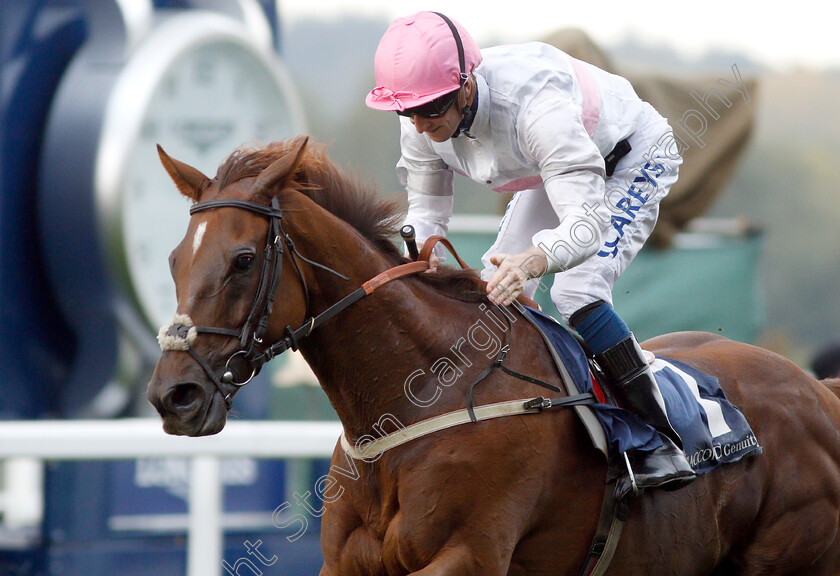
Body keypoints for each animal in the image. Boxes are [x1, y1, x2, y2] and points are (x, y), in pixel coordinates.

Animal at [148, 137, 840, 572]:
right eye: (174, 258)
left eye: (243, 261)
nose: (173, 396)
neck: (418, 397)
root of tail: (815, 389)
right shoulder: (345, 564)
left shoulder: (468, 554)